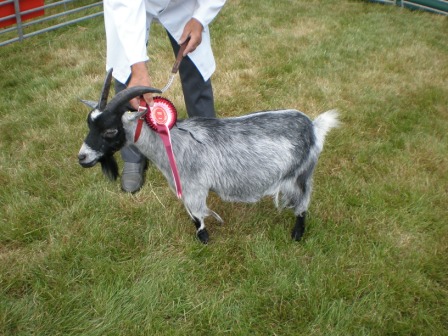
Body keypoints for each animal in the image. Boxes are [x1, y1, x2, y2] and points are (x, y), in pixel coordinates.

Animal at [79, 70, 338, 244]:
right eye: (89, 125)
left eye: (110, 131)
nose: (82, 157)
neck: (172, 141)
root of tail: (313, 127)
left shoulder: (194, 187)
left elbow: (197, 215)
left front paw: (203, 239)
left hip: (301, 174)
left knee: (302, 205)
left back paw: (297, 234)